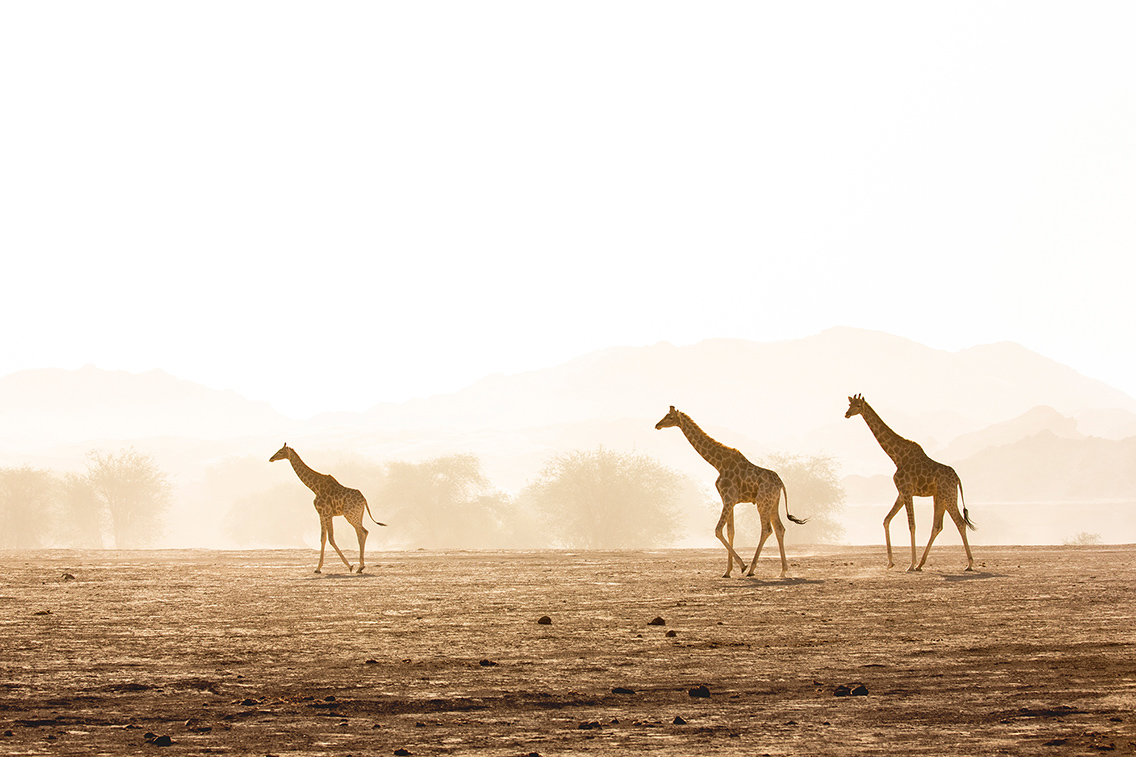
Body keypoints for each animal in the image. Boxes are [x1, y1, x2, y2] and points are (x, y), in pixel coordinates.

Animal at [270, 444, 386, 574]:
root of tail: (364, 500)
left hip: (350, 515)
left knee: (363, 532)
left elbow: (330, 538)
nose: (271, 458)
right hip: (358, 514)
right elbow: (323, 538)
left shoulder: (326, 513)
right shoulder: (321, 514)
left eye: (280, 452)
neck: (314, 487)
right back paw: (360, 567)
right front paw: (318, 568)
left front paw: (349, 566)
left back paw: (360, 566)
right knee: (361, 533)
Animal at [655, 406, 808, 578]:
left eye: (670, 417)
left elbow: (718, 530)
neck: (718, 463)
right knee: (779, 529)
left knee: (767, 529)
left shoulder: (729, 499)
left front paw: (742, 566)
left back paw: (752, 569)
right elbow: (730, 531)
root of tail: (781, 483)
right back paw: (783, 571)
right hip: (773, 502)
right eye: (665, 415)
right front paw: (727, 571)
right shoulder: (729, 500)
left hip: (762, 502)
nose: (657, 425)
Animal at [844, 394, 975, 572]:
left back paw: (969, 564)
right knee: (937, 526)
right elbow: (886, 520)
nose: (847, 414)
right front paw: (891, 562)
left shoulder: (907, 491)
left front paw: (910, 564)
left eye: (858, 405)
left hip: (949, 495)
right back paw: (921, 564)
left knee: (960, 523)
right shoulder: (901, 492)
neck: (896, 457)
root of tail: (957, 478)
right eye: (849, 404)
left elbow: (912, 525)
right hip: (939, 497)